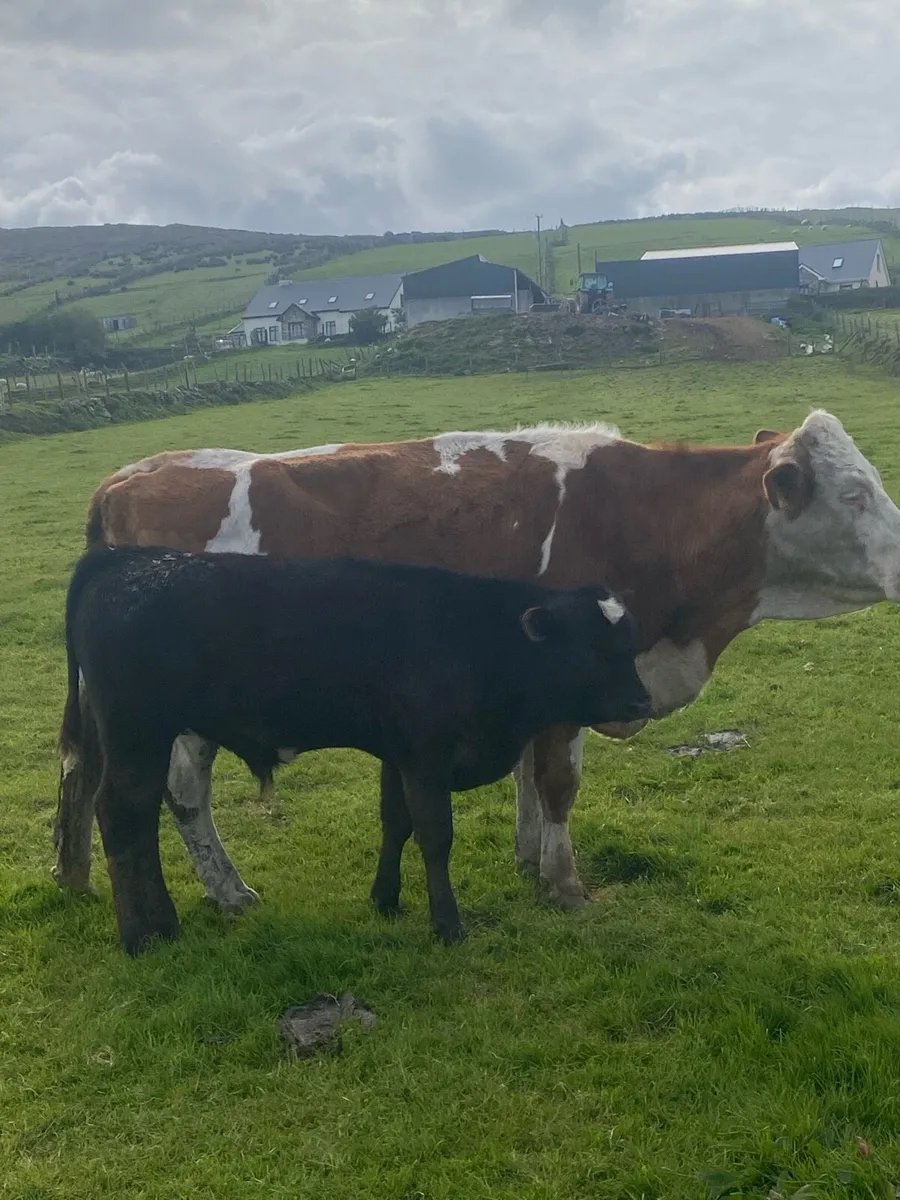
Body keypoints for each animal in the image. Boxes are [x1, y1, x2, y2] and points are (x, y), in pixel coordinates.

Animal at [59, 545, 651, 955]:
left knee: (138, 819)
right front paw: (447, 924)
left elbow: (396, 823)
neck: (474, 639)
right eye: (591, 645)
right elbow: (435, 838)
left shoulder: (398, 754)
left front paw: (385, 899)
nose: (642, 700)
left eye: (629, 642)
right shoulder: (426, 756)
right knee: (121, 814)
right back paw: (140, 935)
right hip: (137, 733)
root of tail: (126, 557)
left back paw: (162, 923)